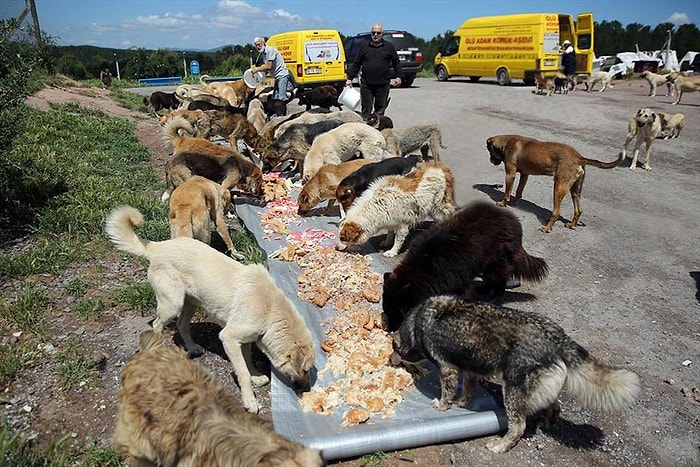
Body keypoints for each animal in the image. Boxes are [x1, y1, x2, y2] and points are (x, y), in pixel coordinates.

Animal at [106, 207, 318, 414]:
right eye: (305, 370)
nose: (306, 390)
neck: (270, 310)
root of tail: (158, 246)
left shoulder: (245, 340)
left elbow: (247, 362)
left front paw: (256, 376)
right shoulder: (229, 338)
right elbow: (242, 372)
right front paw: (249, 400)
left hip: (190, 303)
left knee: (182, 325)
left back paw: (192, 347)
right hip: (172, 305)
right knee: (157, 325)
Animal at [380, 201, 548, 332]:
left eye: (398, 312)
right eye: (386, 310)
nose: (390, 330)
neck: (424, 266)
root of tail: (515, 223)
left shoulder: (457, 281)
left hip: (497, 262)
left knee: (499, 284)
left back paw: (492, 298)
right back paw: (483, 290)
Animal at [392, 296, 644, 454]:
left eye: (395, 349)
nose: (391, 360)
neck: (418, 321)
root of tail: (558, 337)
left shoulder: (448, 368)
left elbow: (447, 391)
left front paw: (443, 404)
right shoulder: (471, 370)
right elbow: (468, 390)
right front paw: (462, 401)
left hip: (512, 390)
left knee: (519, 426)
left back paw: (500, 446)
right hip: (535, 387)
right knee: (554, 406)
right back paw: (547, 424)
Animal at [486, 134, 624, 233]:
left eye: (489, 151)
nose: (491, 161)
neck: (507, 142)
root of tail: (579, 158)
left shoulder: (510, 175)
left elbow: (507, 192)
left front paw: (503, 203)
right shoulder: (525, 175)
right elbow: (519, 190)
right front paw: (514, 203)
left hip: (559, 186)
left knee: (556, 212)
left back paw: (547, 228)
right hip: (575, 189)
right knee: (579, 210)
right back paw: (572, 225)